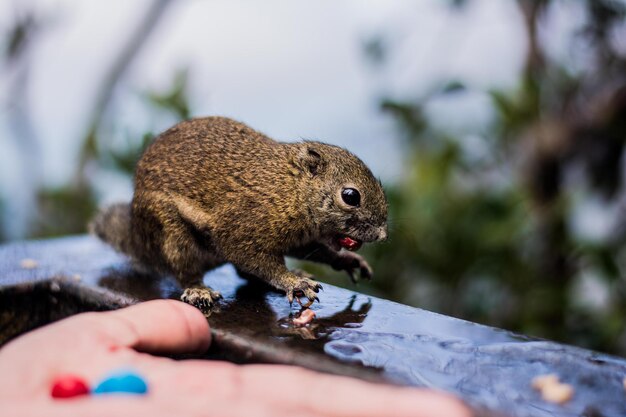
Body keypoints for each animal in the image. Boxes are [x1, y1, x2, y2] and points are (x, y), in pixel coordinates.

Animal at [91, 115, 388, 310]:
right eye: (350, 196)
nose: (382, 234)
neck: (291, 190)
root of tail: (139, 238)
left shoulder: (298, 237)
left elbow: (315, 251)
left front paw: (348, 261)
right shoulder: (242, 226)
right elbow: (250, 256)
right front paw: (293, 282)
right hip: (169, 231)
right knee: (185, 267)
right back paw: (198, 290)